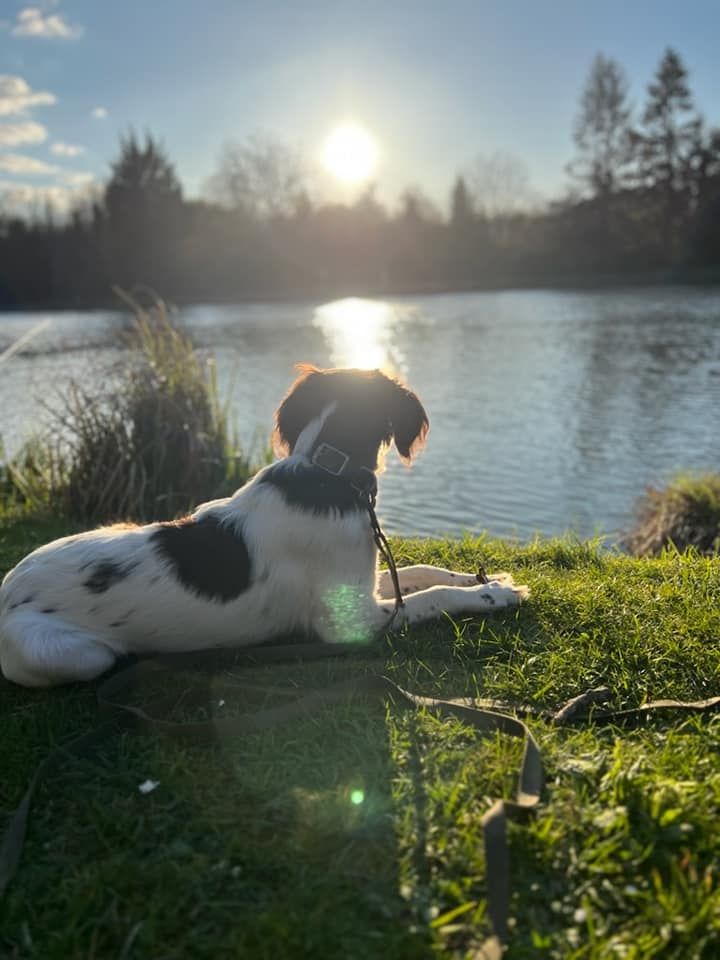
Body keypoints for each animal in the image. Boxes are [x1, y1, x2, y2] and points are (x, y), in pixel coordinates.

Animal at [0, 364, 528, 688]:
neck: (325, 472)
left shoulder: (364, 579)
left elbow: (422, 572)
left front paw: (483, 576)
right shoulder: (351, 620)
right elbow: (430, 597)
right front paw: (494, 594)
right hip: (72, 654)